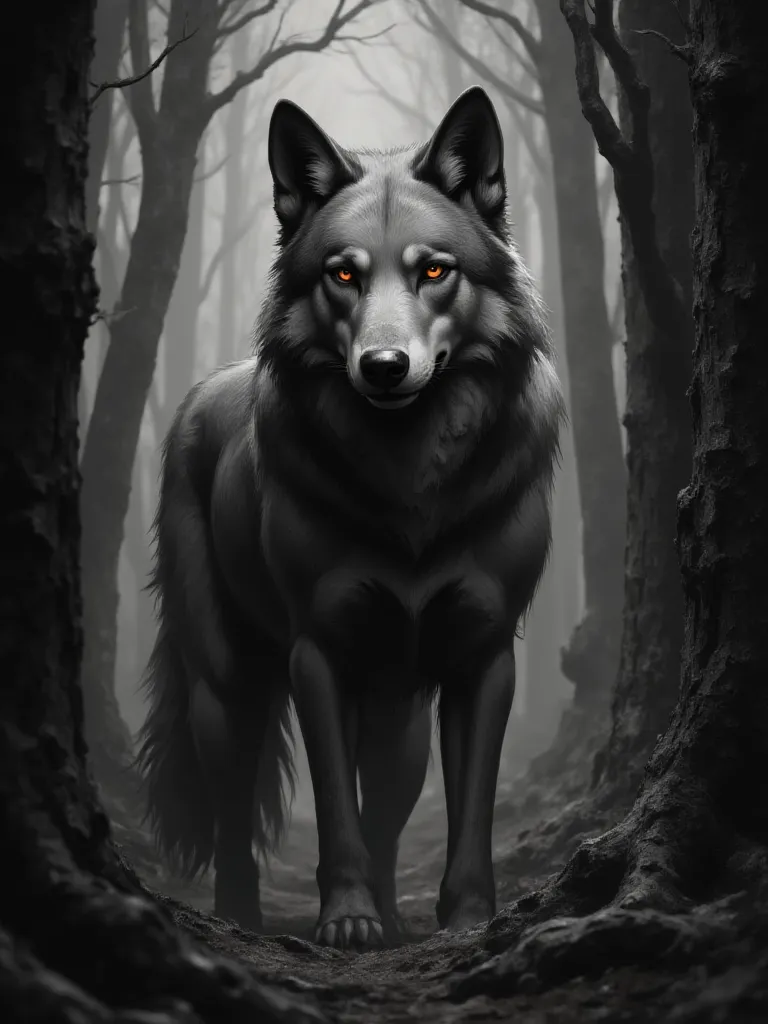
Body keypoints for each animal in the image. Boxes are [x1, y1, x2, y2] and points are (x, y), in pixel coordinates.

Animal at [137, 86, 563, 950]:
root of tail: (199, 395)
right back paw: (241, 915)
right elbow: (335, 805)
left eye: (434, 270)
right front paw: (349, 918)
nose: (385, 367)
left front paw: (466, 919)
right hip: (227, 682)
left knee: (388, 802)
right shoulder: (319, 652)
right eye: (343, 274)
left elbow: (463, 807)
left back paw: (397, 917)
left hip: (398, 712)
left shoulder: (483, 655)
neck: (411, 487)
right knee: (234, 804)